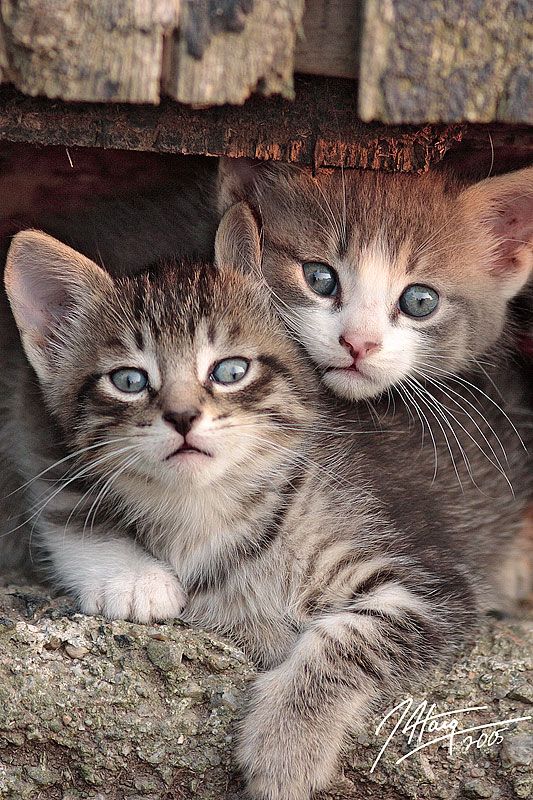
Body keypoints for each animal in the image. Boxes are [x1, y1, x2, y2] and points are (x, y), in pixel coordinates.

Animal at [2, 209, 528, 796]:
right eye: (129, 379)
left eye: (230, 371)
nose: (182, 417)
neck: (210, 510)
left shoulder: (433, 582)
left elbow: (352, 637)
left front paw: (285, 747)